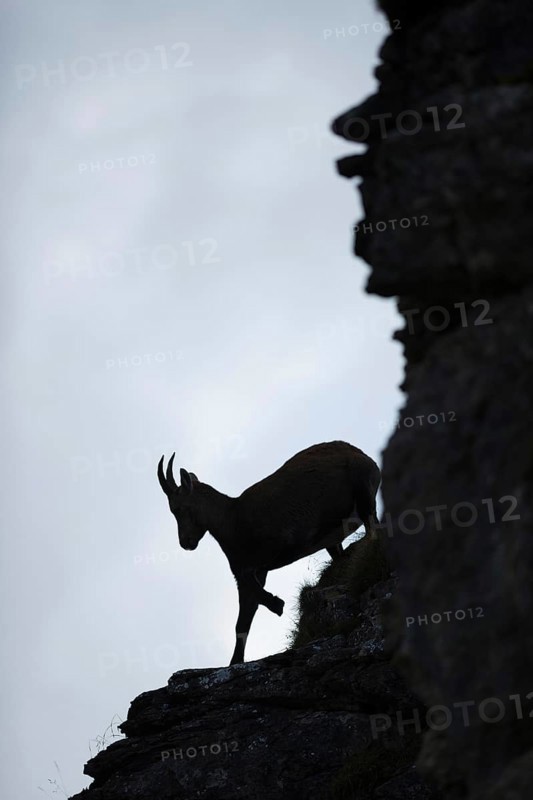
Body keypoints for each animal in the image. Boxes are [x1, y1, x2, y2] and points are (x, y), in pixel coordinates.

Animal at [157, 440, 381, 665]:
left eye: (177, 508)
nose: (186, 542)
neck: (232, 519)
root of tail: (363, 456)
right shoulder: (250, 571)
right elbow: (243, 618)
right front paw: (235, 661)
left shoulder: (275, 548)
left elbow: (252, 590)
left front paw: (277, 604)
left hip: (363, 492)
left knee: (373, 530)